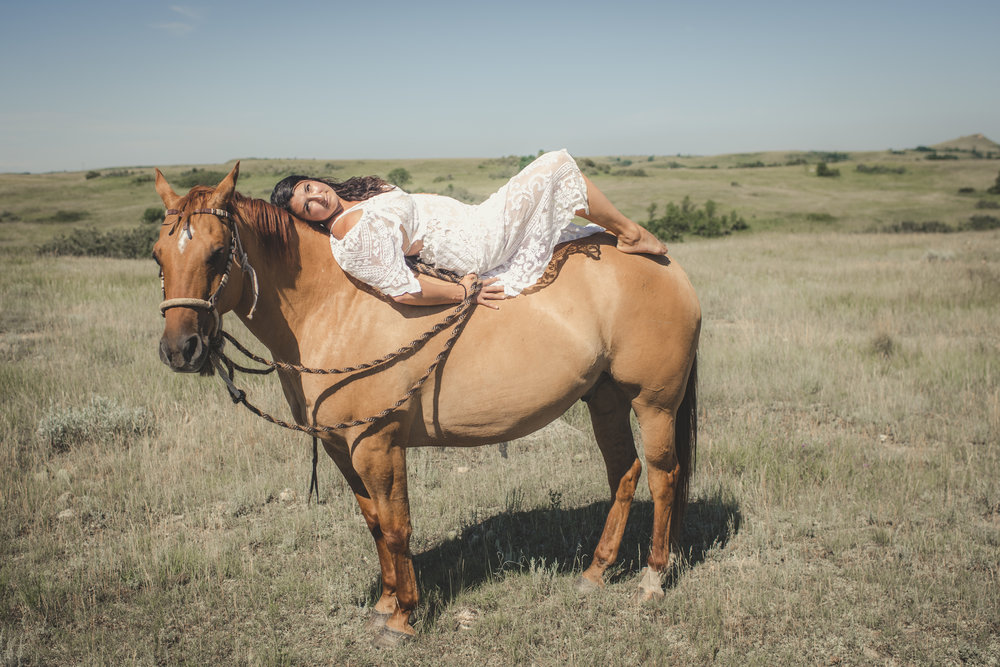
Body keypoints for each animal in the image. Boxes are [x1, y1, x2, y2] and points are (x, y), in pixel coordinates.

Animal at [152, 163, 700, 648]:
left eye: (217, 252)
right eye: (159, 257)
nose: (181, 350)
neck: (337, 310)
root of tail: (671, 270)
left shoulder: (378, 446)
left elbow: (398, 528)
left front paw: (403, 619)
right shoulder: (340, 447)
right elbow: (374, 524)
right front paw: (384, 605)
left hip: (654, 404)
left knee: (663, 477)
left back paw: (652, 580)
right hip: (604, 398)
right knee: (624, 473)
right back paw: (595, 572)